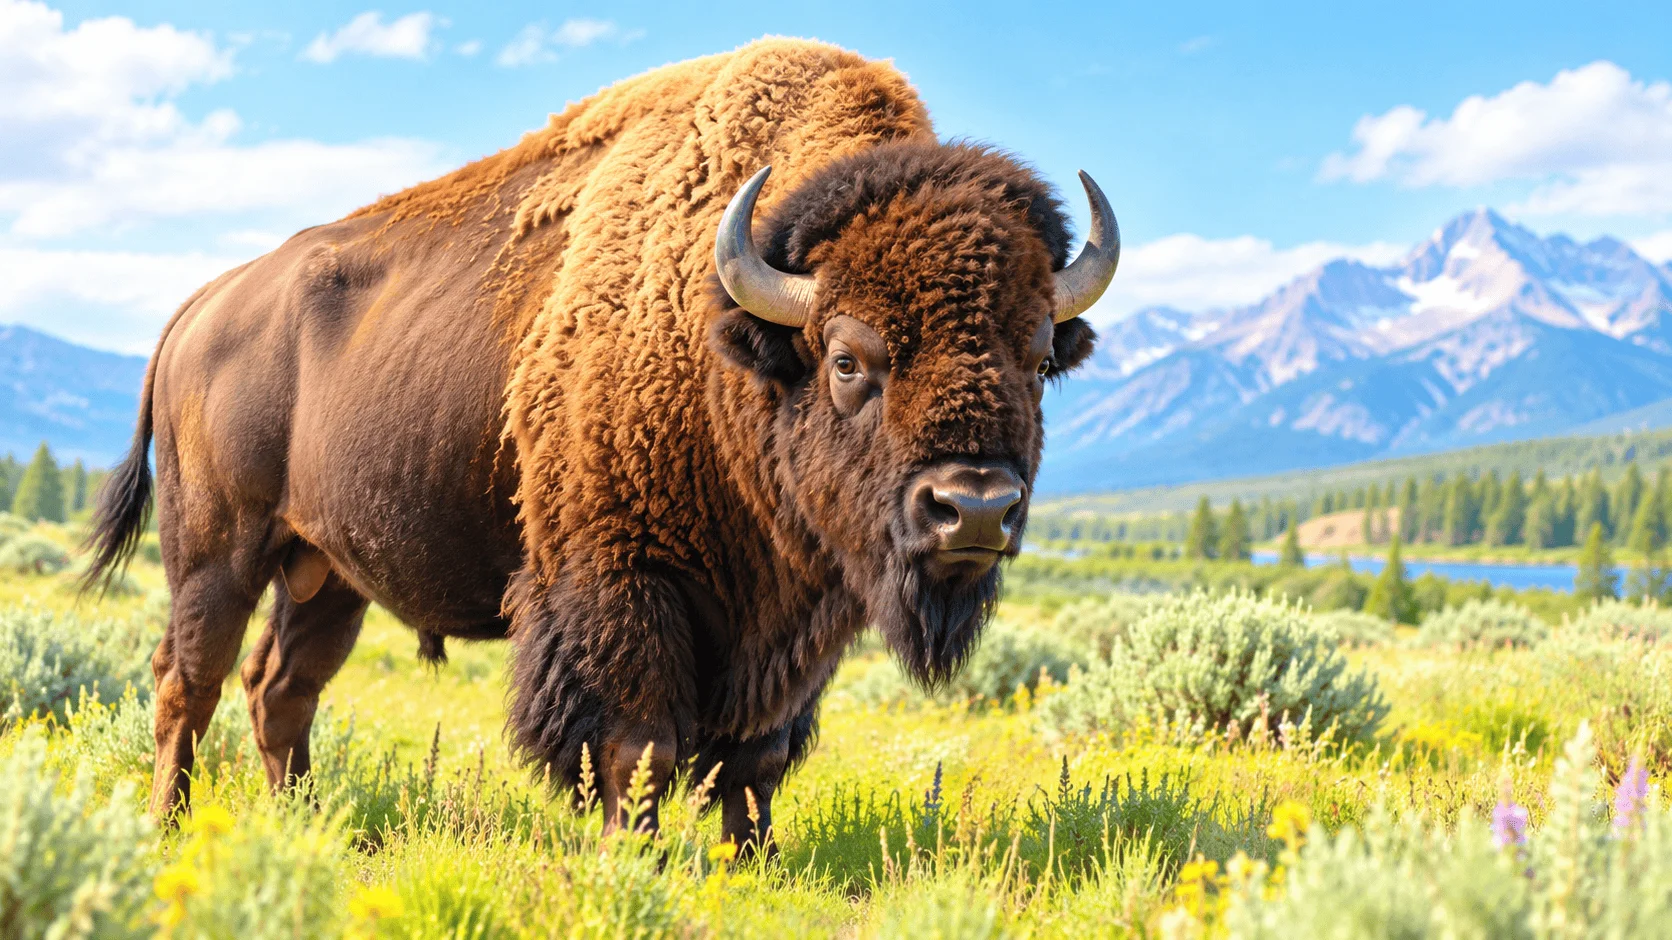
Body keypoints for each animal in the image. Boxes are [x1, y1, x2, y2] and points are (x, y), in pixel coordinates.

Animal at [84, 38, 1118, 849]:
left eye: (1038, 356)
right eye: (849, 358)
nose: (973, 509)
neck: (730, 338)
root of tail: (203, 305)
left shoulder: (803, 618)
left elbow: (756, 759)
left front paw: (753, 863)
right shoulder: (622, 582)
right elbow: (642, 744)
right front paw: (637, 856)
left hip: (329, 571)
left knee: (281, 688)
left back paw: (304, 822)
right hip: (216, 551)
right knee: (190, 680)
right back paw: (170, 825)